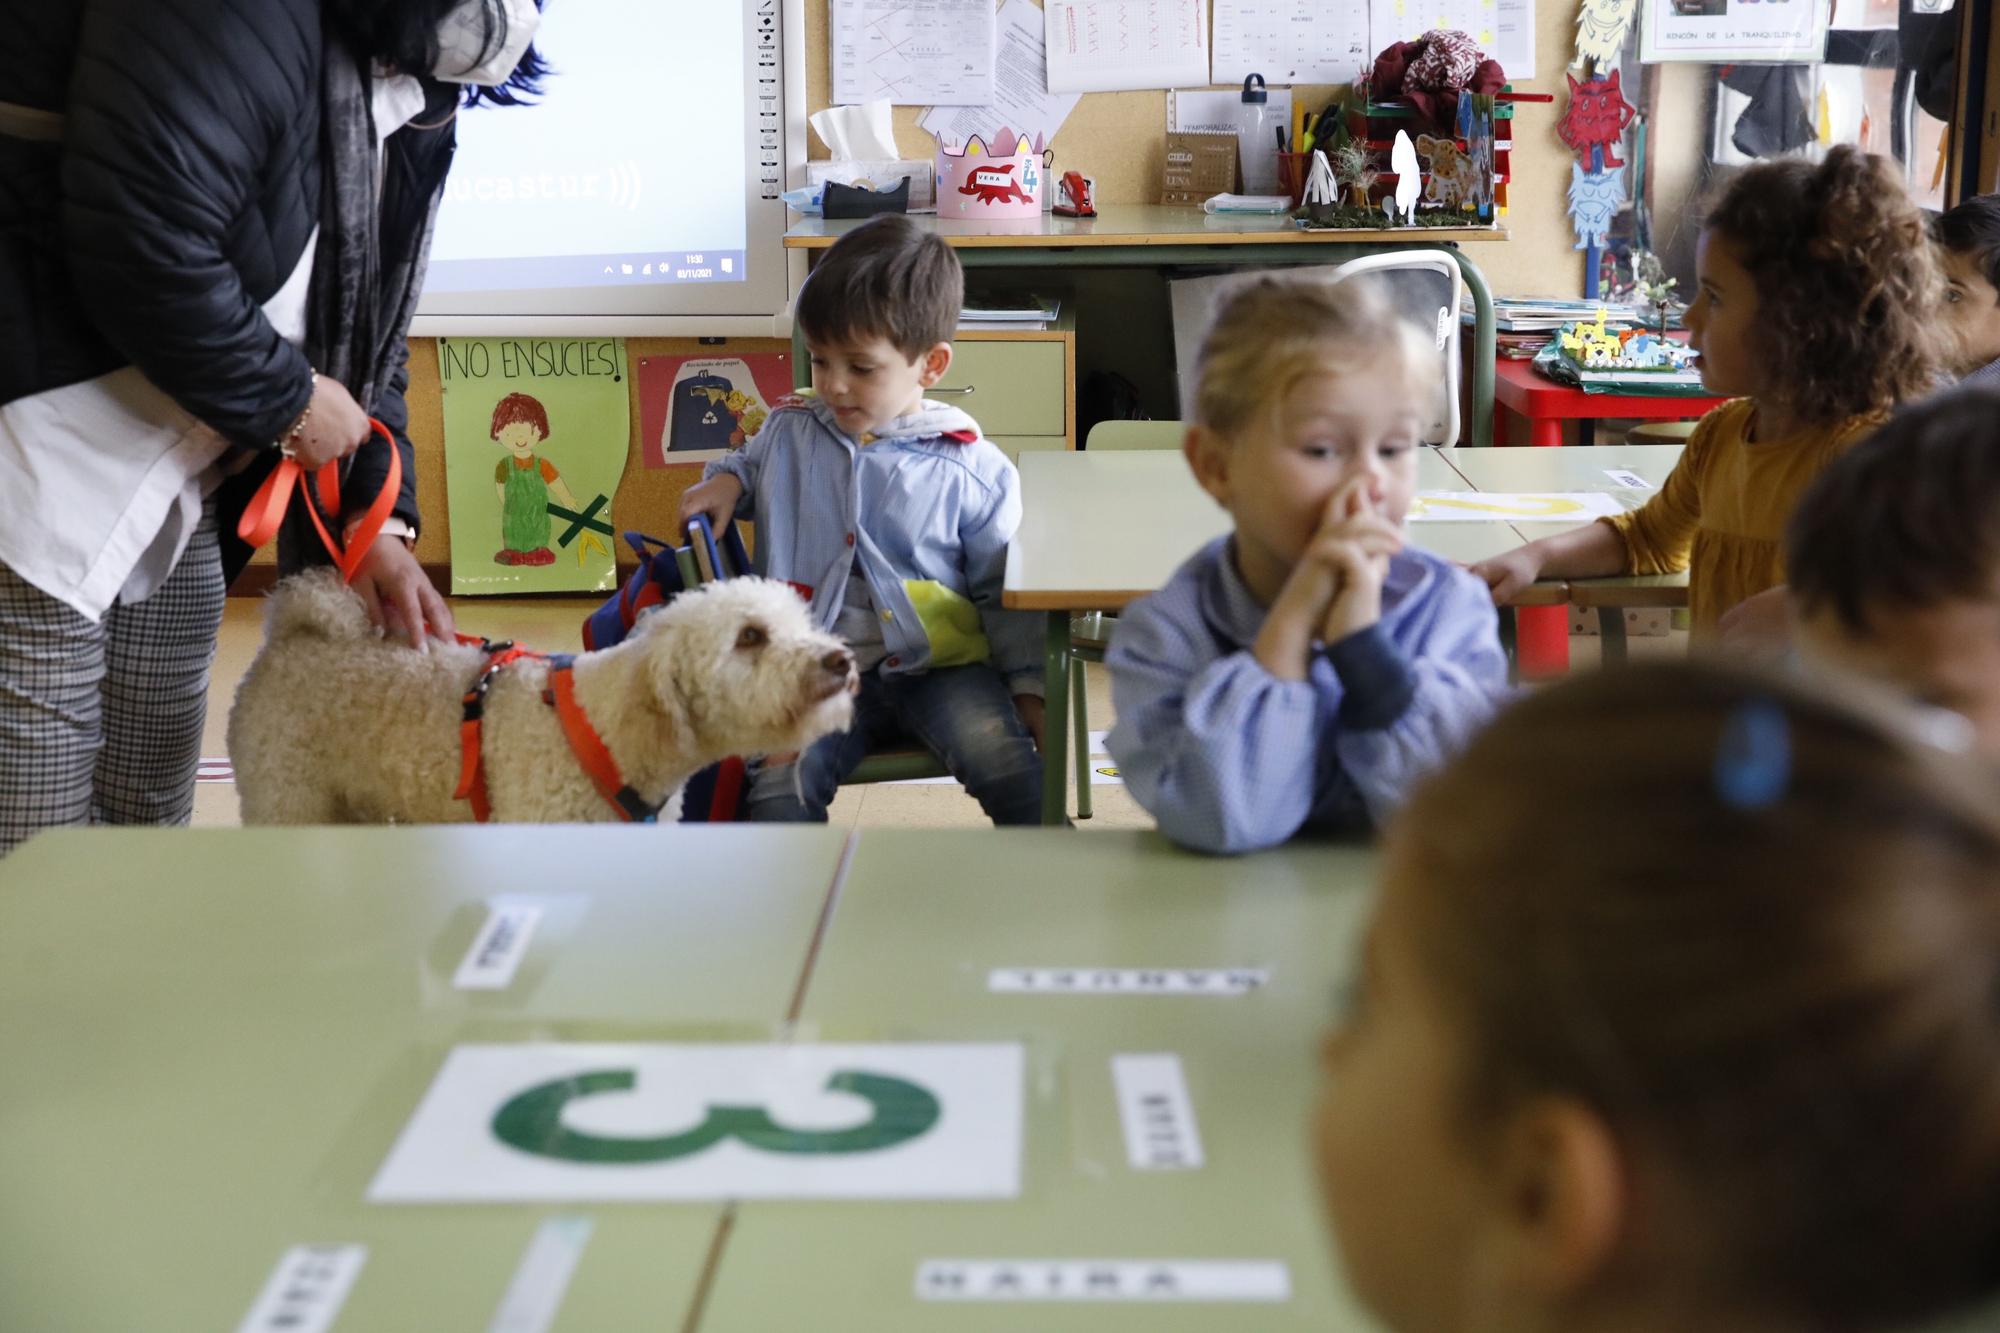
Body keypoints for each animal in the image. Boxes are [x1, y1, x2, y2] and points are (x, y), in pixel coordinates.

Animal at [230, 568, 856, 820]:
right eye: (749, 636)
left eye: (801, 621)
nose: (842, 660)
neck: (611, 731)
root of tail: (293, 632)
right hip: (287, 800)